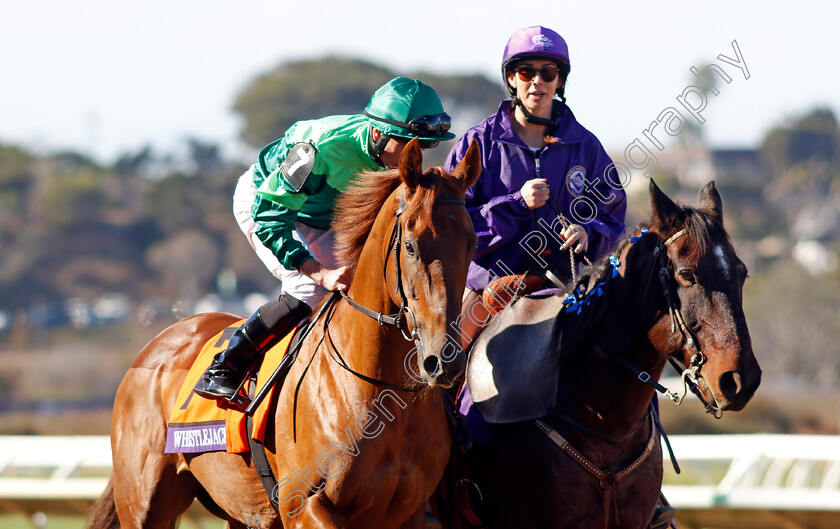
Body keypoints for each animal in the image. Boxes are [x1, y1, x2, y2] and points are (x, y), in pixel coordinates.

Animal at [88, 139, 482, 528]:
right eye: (412, 245)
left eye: (472, 244)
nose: (443, 361)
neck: (377, 388)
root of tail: (152, 349)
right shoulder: (303, 505)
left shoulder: (409, 513)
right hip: (145, 505)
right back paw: (219, 377)